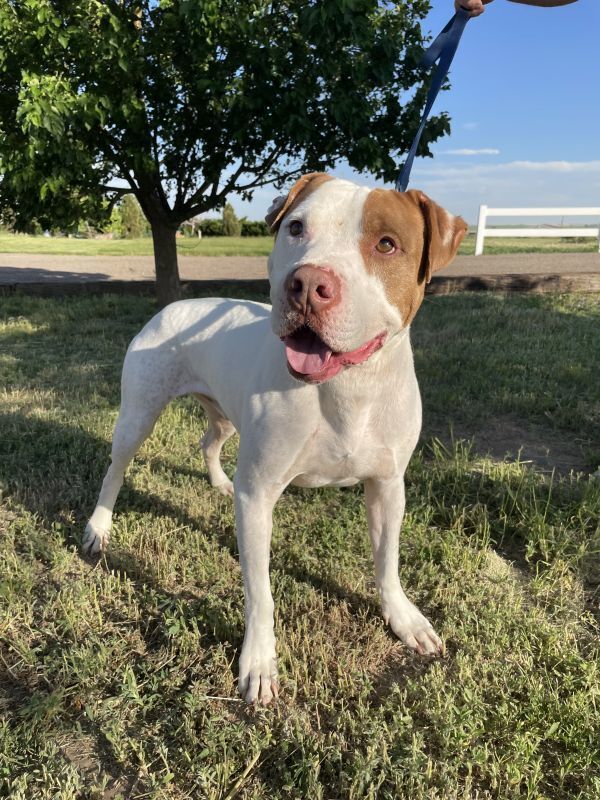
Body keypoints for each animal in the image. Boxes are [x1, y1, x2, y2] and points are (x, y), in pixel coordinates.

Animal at [83, 173, 468, 700]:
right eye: (296, 227)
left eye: (387, 244)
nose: (308, 285)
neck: (348, 388)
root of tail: (176, 305)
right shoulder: (260, 495)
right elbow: (260, 592)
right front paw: (259, 662)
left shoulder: (388, 486)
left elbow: (387, 561)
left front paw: (402, 618)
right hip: (138, 414)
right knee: (115, 470)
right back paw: (98, 528)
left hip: (224, 413)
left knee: (209, 442)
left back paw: (219, 484)